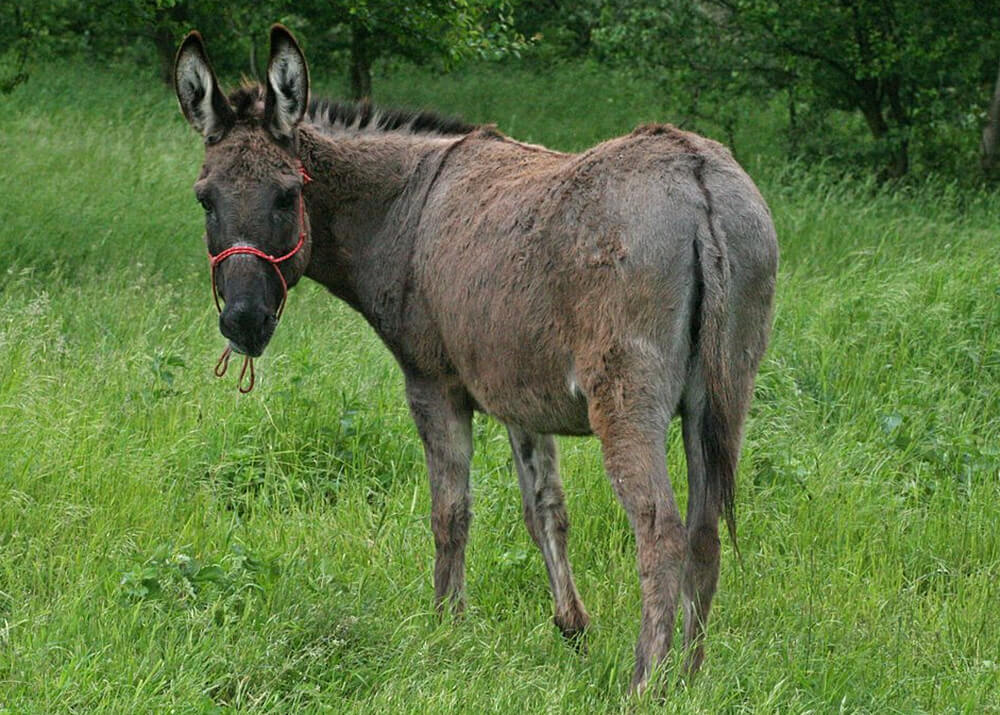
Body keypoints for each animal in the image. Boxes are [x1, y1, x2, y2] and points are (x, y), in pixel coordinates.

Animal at [173, 25, 777, 692]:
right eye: (205, 201)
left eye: (287, 196)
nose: (244, 323)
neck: (400, 211)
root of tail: (699, 178)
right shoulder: (517, 393)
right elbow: (545, 508)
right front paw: (572, 627)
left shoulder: (433, 384)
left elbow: (451, 512)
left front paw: (446, 629)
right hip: (723, 396)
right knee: (704, 532)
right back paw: (690, 675)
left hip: (627, 400)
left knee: (660, 531)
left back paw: (645, 680)